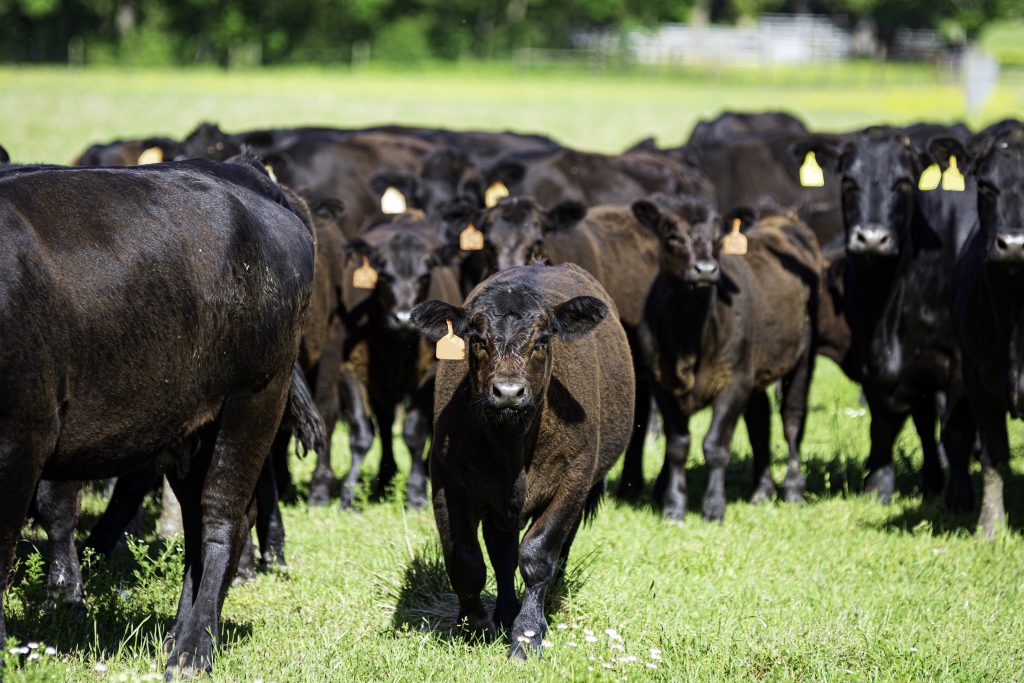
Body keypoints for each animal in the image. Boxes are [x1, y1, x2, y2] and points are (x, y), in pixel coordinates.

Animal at [0, 157, 319, 675]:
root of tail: (243, 175)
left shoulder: (22, 440)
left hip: (254, 397)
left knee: (222, 518)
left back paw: (192, 649)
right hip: (191, 427)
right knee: (199, 525)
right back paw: (179, 632)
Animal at [407, 264, 630, 659]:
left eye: (542, 340)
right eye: (476, 339)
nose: (508, 392)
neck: (510, 446)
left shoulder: (574, 478)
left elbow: (538, 554)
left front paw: (527, 635)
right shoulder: (447, 480)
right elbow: (466, 560)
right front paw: (476, 626)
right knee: (501, 551)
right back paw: (505, 611)